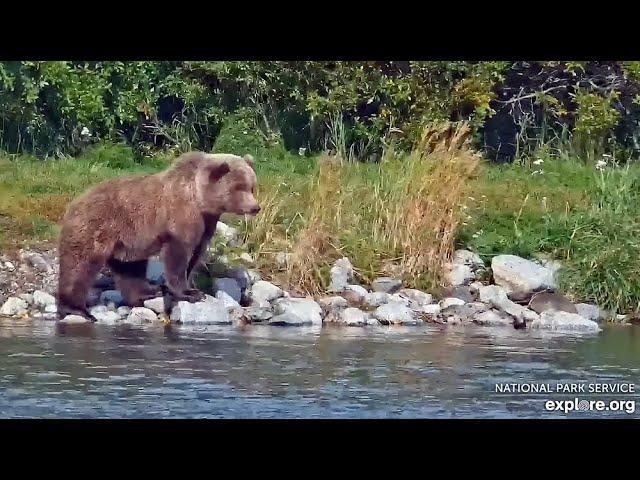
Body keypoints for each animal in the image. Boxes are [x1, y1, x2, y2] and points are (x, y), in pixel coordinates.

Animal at [57, 153, 260, 318]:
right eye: (238, 187)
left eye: (252, 186)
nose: (255, 207)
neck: (200, 200)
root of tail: (74, 203)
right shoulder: (181, 216)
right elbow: (178, 255)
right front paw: (190, 293)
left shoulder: (206, 223)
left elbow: (195, 255)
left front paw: (191, 287)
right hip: (97, 227)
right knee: (80, 265)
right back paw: (77, 308)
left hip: (128, 239)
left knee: (130, 269)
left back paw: (148, 291)